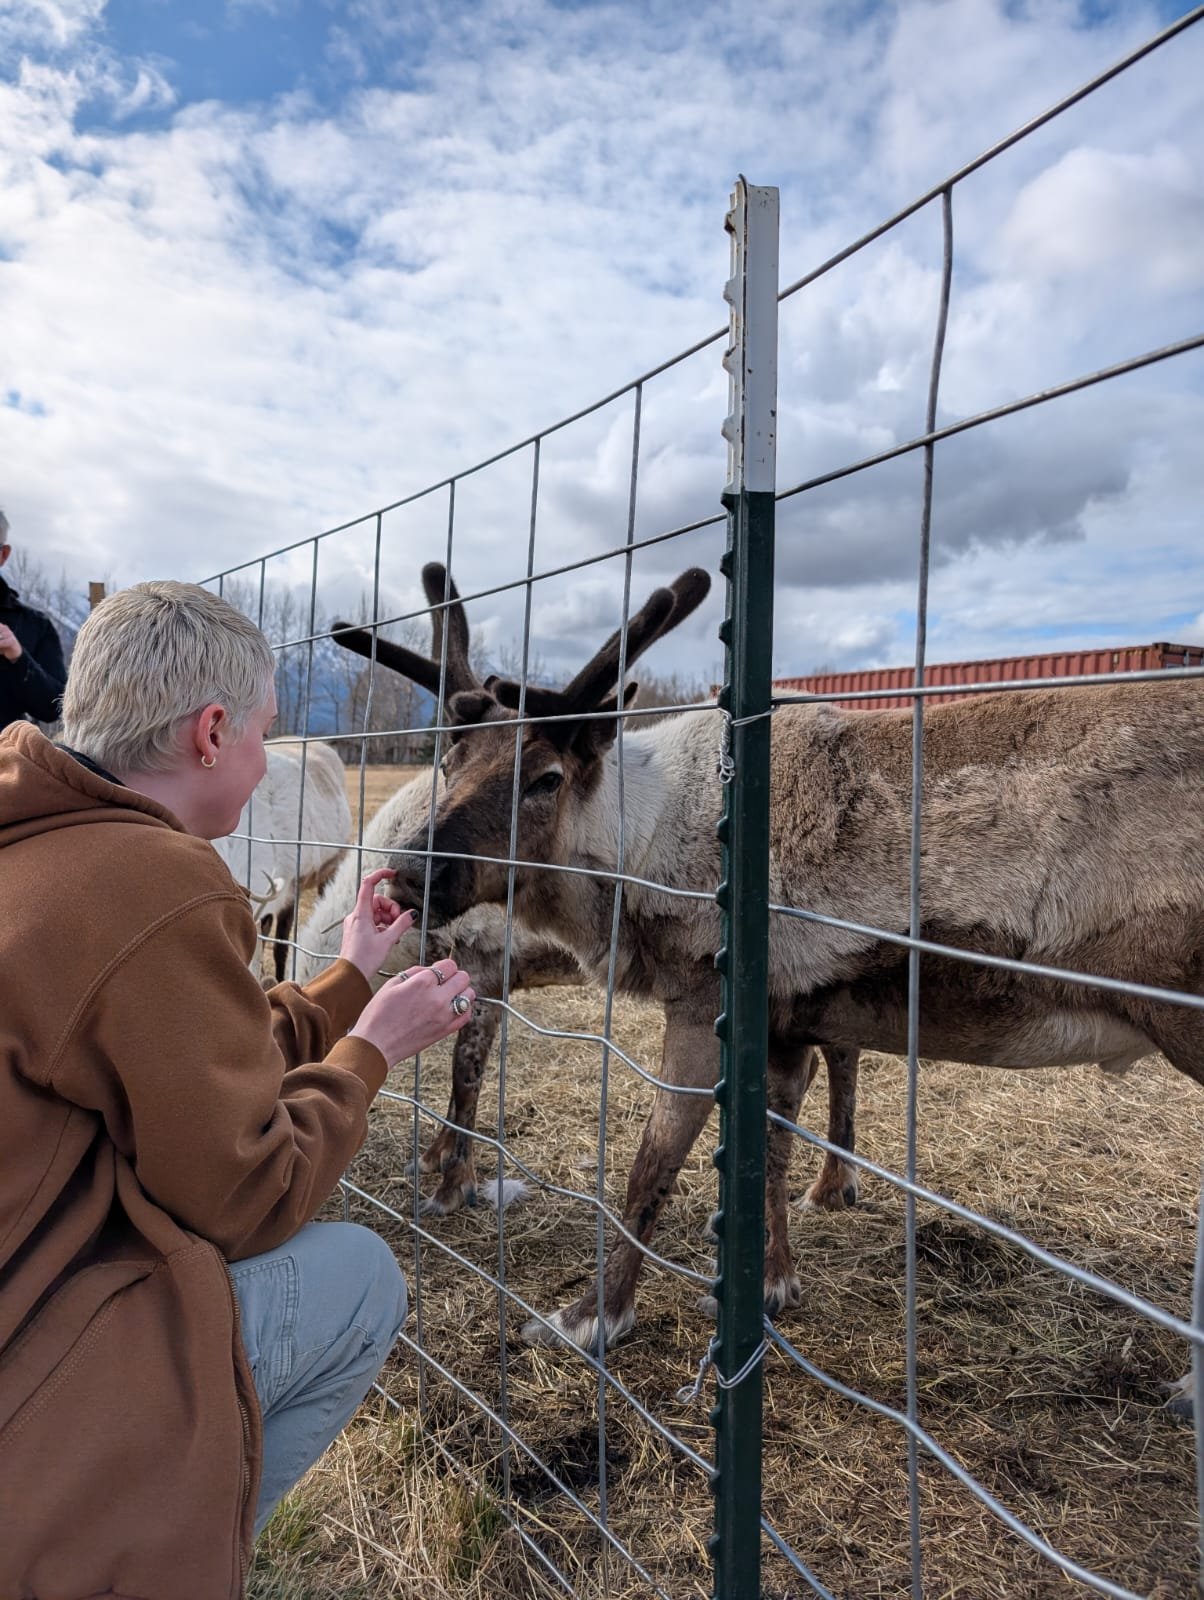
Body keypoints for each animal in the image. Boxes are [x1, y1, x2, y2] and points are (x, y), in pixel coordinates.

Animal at [332, 562, 1204, 1417]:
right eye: (452, 762)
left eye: (545, 777)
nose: (410, 872)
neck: (638, 851)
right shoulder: (785, 1022)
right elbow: (772, 1154)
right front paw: (774, 1284)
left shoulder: (700, 1006)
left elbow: (650, 1167)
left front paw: (593, 1317)